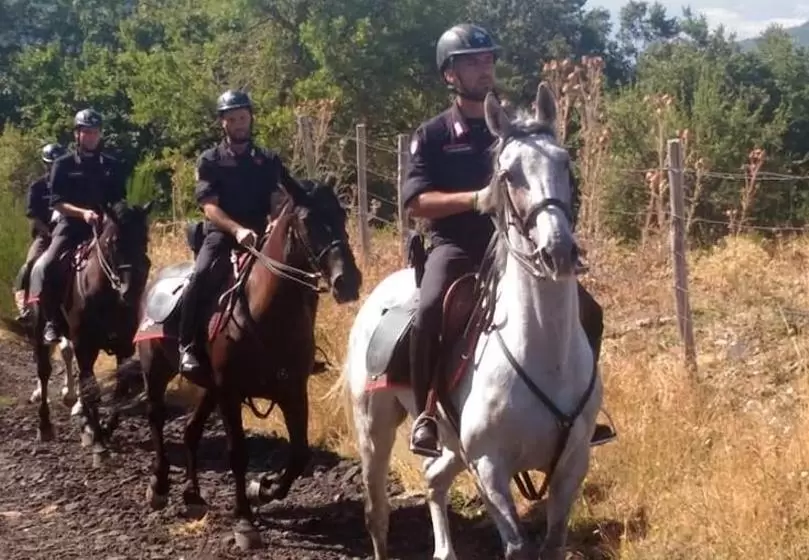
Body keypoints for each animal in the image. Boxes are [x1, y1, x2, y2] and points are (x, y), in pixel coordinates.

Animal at [28, 200, 153, 464]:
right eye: (114, 241)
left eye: (144, 238)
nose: (132, 289)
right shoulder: (85, 346)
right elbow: (91, 391)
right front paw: (97, 441)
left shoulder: (124, 346)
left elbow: (121, 389)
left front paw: (104, 428)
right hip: (39, 330)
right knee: (44, 371)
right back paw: (45, 425)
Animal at [136, 182, 360, 548]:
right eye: (307, 220)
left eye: (341, 214)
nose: (347, 281)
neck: (266, 313)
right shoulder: (230, 393)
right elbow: (238, 453)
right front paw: (244, 520)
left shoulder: (292, 391)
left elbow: (299, 455)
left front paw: (263, 489)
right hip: (156, 370)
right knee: (156, 417)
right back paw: (159, 486)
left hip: (208, 387)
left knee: (191, 431)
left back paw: (193, 495)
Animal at [340, 84, 600, 560]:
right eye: (509, 174)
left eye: (564, 162)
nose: (558, 251)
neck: (544, 354)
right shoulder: (489, 466)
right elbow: (516, 547)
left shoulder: (572, 464)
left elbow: (553, 543)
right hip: (374, 427)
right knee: (377, 512)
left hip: (452, 444)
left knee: (433, 478)